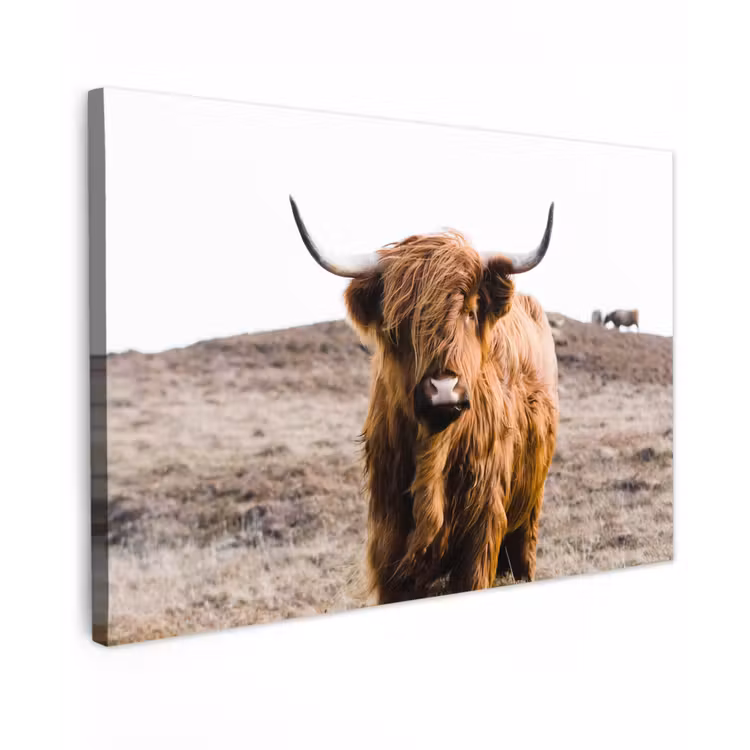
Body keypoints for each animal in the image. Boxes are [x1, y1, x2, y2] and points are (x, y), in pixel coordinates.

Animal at [289, 196, 559, 604]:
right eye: (399, 322)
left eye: (469, 311)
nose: (443, 389)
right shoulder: (388, 541)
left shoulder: (482, 532)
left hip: (530, 508)